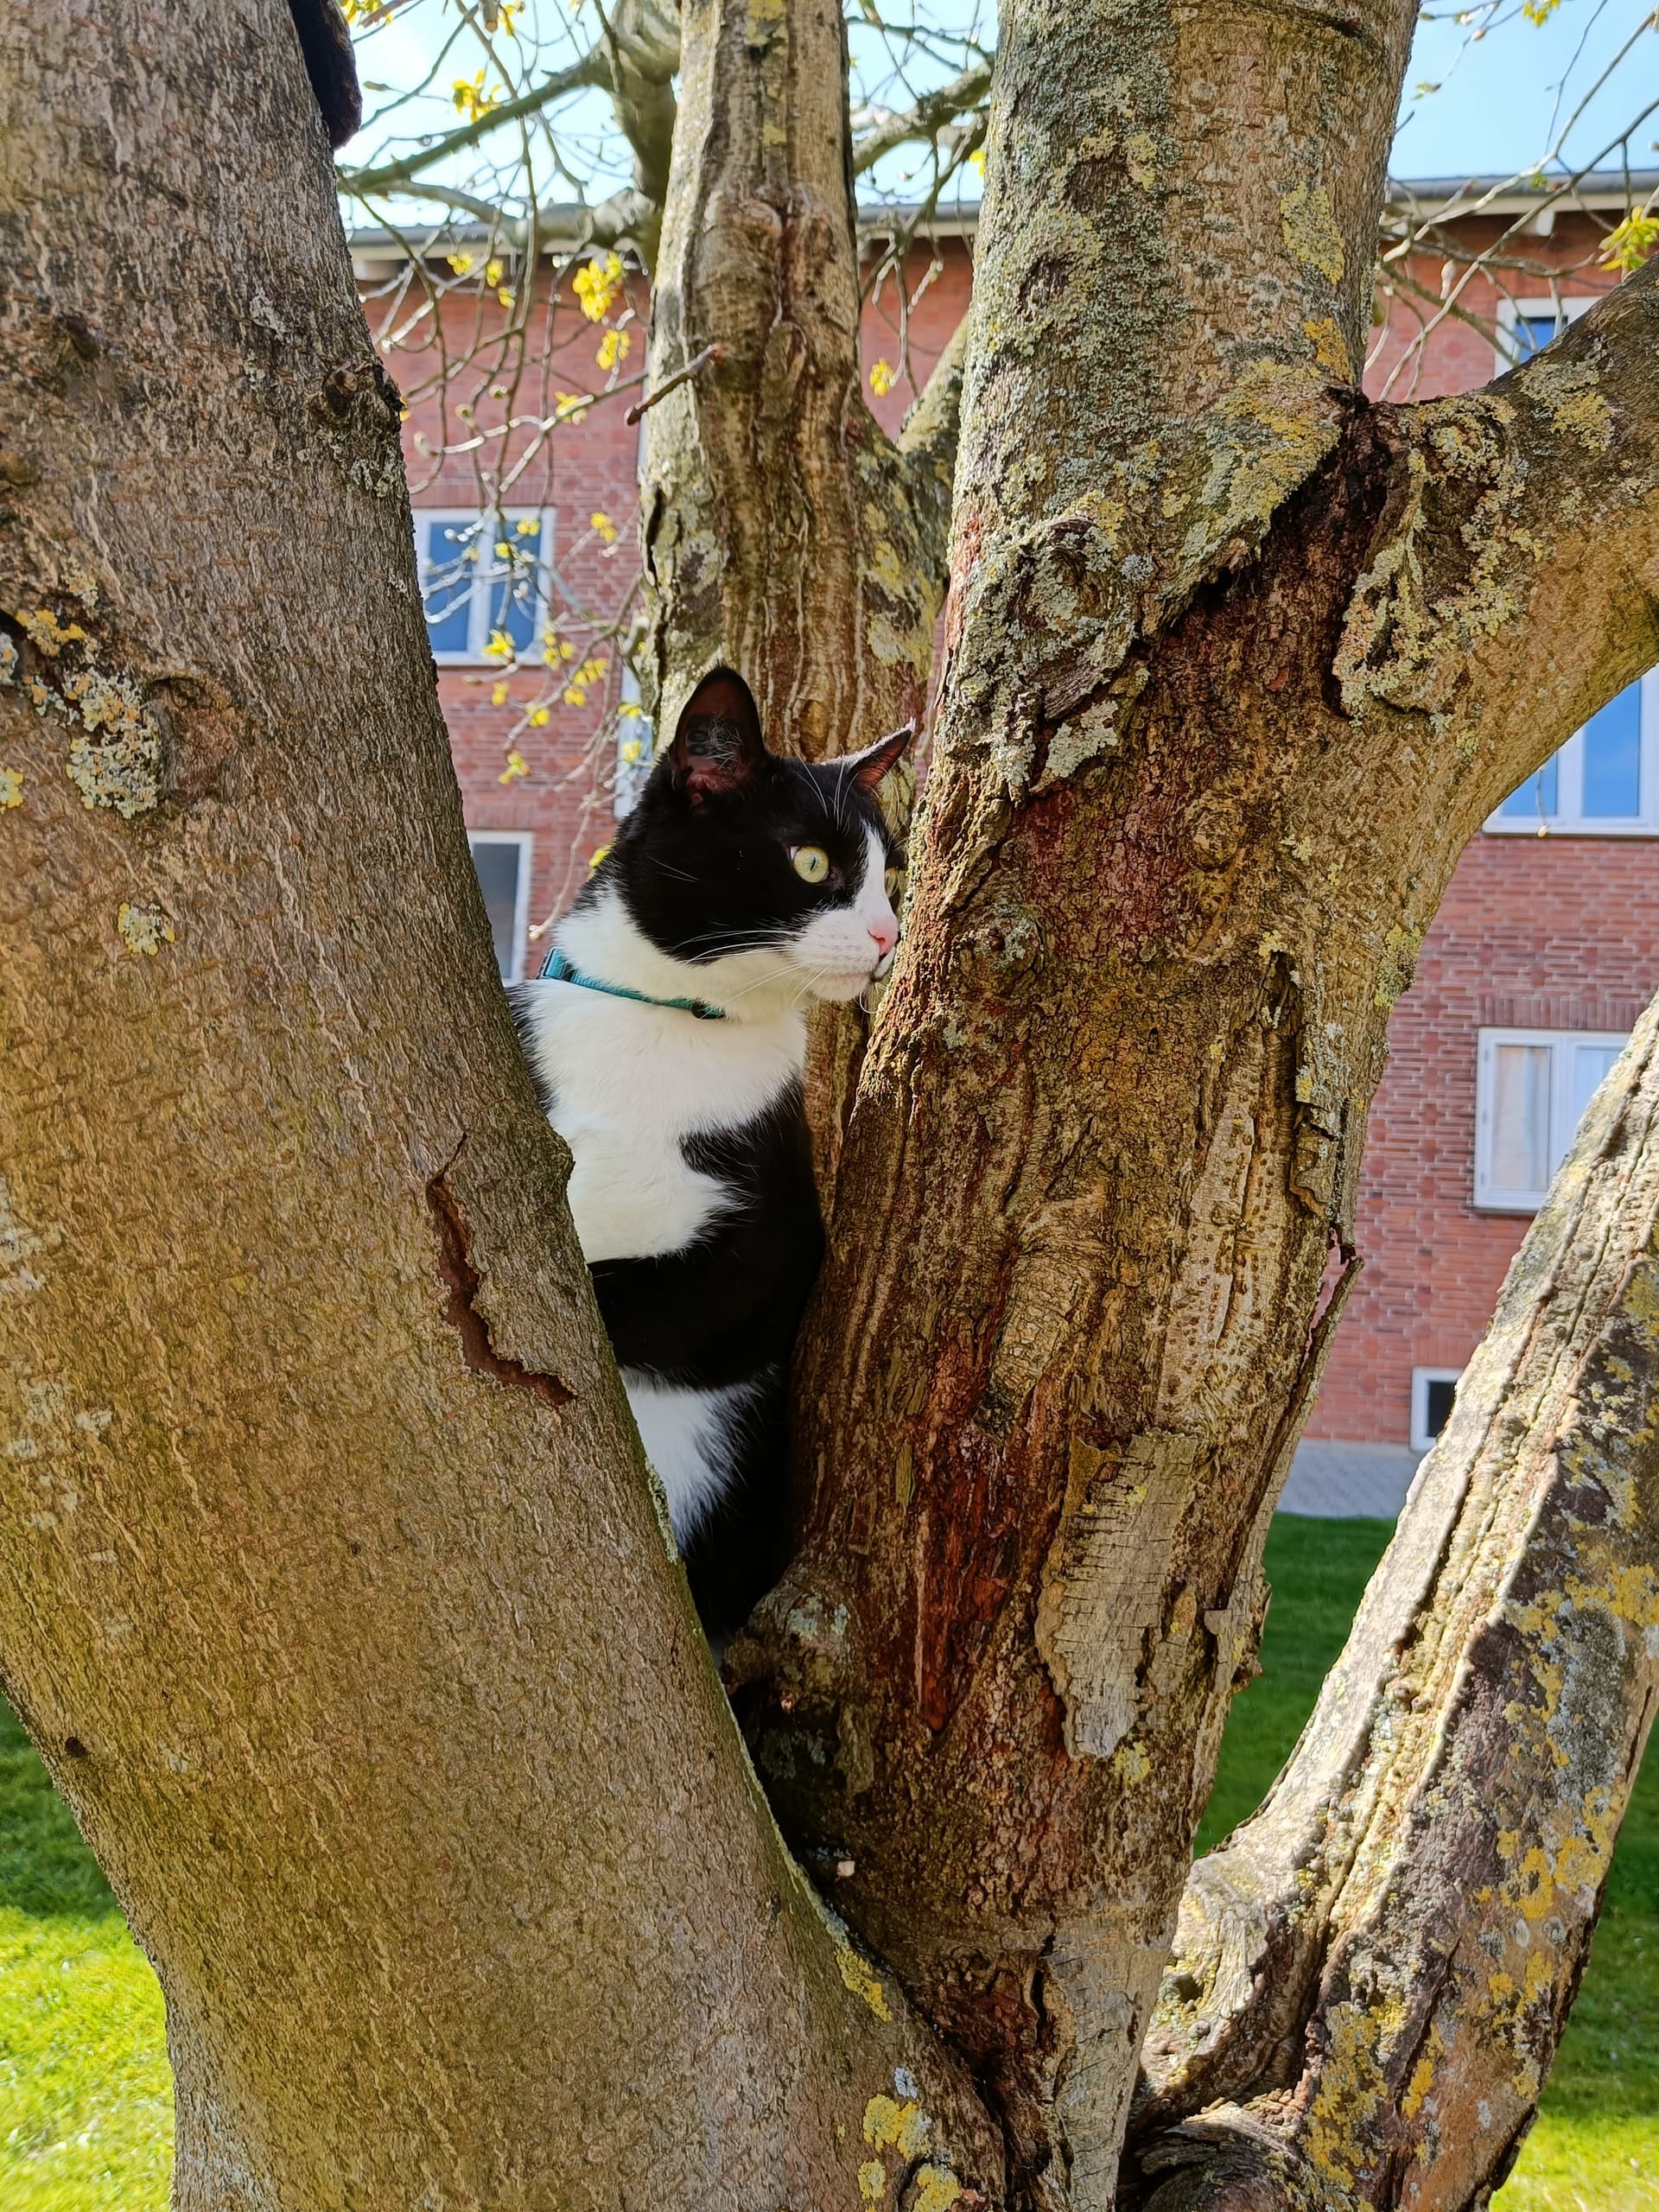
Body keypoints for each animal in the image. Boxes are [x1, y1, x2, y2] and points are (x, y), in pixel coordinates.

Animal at [509, 668, 911, 1635]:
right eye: (813, 863)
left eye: (890, 875)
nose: (888, 934)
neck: (665, 1027)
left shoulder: (776, 1240)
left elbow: (677, 1300)